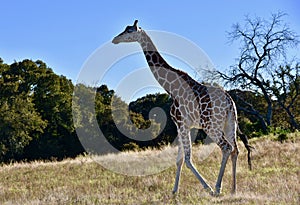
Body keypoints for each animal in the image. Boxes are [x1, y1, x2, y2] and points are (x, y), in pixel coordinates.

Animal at [111, 20, 252, 195]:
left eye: (129, 30)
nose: (115, 39)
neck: (171, 88)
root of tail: (229, 102)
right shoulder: (183, 126)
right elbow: (179, 160)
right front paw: (174, 192)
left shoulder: (182, 123)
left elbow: (187, 159)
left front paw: (207, 187)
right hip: (230, 123)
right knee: (235, 149)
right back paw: (233, 189)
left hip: (211, 125)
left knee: (226, 147)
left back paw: (217, 188)